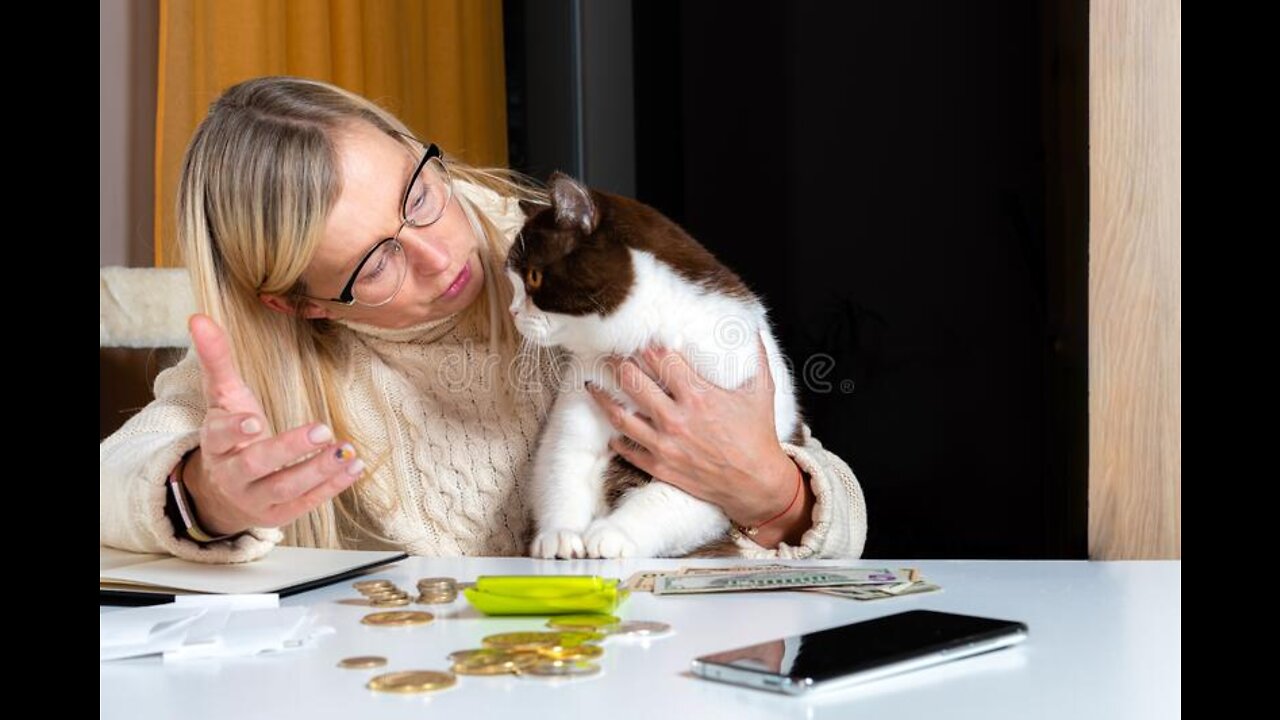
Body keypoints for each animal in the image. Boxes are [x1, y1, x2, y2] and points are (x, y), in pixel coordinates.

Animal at [506, 174, 798, 561]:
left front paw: (612, 534)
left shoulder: (716, 453)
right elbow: (561, 464)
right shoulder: (582, 393)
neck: (645, 332)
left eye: (534, 278)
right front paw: (560, 535)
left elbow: (669, 498)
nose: (512, 311)